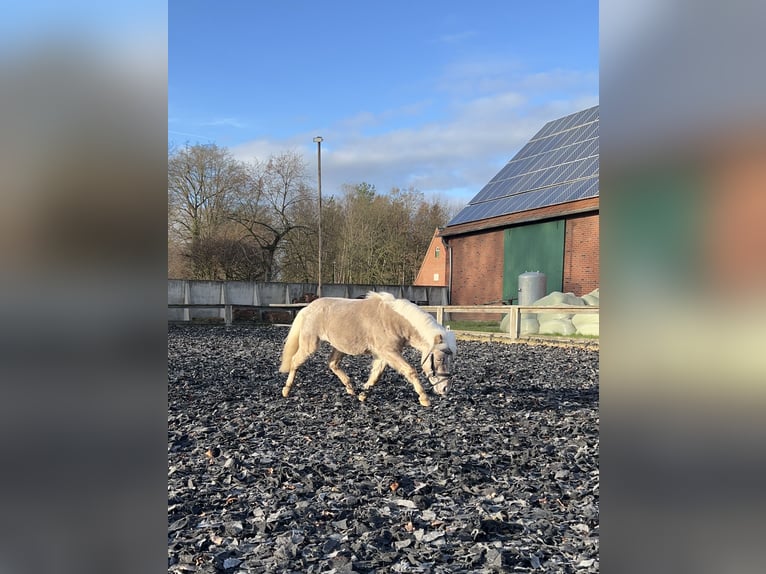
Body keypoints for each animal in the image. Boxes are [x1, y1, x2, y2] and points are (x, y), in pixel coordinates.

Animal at [279, 291, 457, 407]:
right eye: (439, 358)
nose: (445, 388)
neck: (394, 320)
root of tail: (307, 308)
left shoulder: (384, 355)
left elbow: (375, 376)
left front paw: (363, 395)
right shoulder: (389, 352)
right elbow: (410, 371)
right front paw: (424, 398)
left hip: (339, 347)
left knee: (332, 364)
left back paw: (351, 389)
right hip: (310, 345)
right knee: (295, 361)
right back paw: (286, 390)